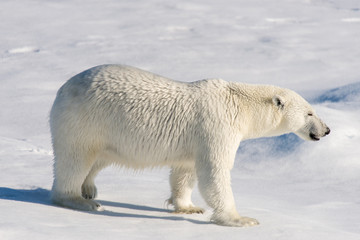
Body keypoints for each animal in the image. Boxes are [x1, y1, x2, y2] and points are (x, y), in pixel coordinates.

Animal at [49, 64, 330, 227]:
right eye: (310, 113)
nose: (326, 130)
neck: (239, 104)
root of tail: (62, 89)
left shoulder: (194, 139)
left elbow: (185, 171)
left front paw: (189, 207)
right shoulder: (217, 126)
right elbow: (215, 172)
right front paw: (241, 219)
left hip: (105, 133)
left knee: (99, 158)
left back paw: (89, 189)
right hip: (85, 120)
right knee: (75, 159)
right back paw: (79, 200)